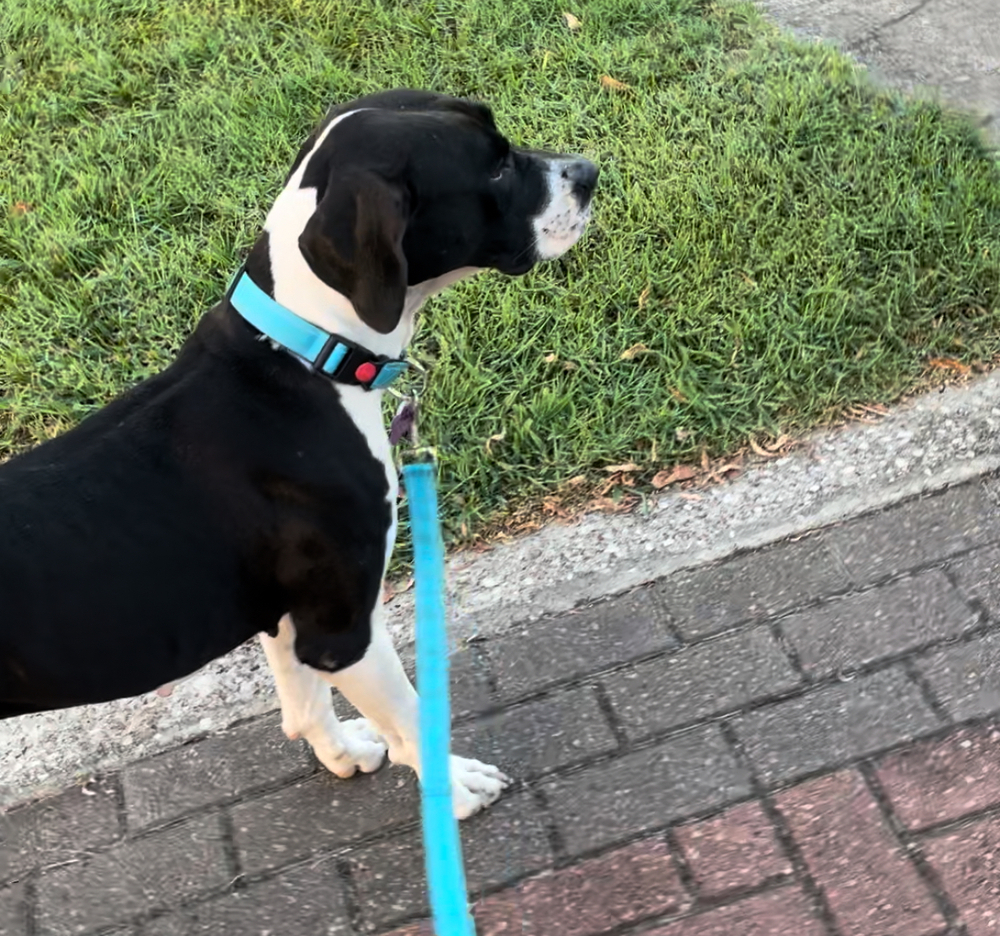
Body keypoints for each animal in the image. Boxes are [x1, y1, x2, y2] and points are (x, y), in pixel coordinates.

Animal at [0, 89, 592, 820]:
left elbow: (304, 704)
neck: (306, 352)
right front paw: (453, 789)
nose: (589, 172)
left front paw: (345, 753)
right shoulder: (345, 630)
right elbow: (412, 721)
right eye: (498, 168)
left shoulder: (290, 617)